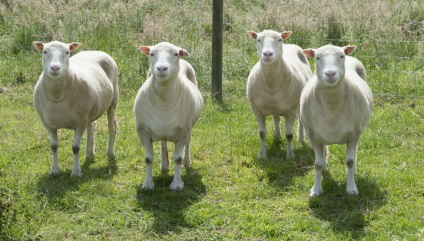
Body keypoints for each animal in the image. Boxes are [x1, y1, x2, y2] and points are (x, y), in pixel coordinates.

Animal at [32, 40, 119, 177]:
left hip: (113, 99)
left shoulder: (80, 123)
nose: (55, 68)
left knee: (112, 126)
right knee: (92, 126)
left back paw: (110, 153)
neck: (57, 97)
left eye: (67, 52)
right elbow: (53, 146)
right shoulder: (48, 124)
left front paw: (76, 172)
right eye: (44, 51)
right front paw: (54, 170)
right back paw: (89, 154)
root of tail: (94, 51)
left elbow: (75, 148)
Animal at [134, 42, 204, 191]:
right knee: (163, 141)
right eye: (152, 54)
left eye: (176, 54)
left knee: (187, 144)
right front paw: (148, 183)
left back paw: (187, 163)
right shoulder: (143, 131)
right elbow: (148, 159)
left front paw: (177, 184)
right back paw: (164, 165)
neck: (164, 100)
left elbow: (178, 158)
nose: (161, 68)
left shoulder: (183, 131)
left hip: (189, 127)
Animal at [247, 29, 314, 159]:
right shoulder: (255, 109)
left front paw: (290, 155)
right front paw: (262, 155)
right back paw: (277, 137)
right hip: (275, 107)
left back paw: (301, 139)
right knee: (276, 118)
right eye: (258, 39)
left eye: (279, 39)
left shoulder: (291, 110)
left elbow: (289, 135)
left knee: (301, 121)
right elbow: (261, 133)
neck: (271, 84)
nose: (268, 54)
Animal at [300, 44, 372, 197]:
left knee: (355, 151)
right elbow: (317, 164)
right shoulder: (313, 135)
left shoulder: (354, 134)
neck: (332, 106)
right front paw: (316, 190)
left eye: (341, 56)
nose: (330, 73)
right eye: (317, 57)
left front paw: (351, 188)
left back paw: (354, 170)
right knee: (323, 153)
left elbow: (349, 161)